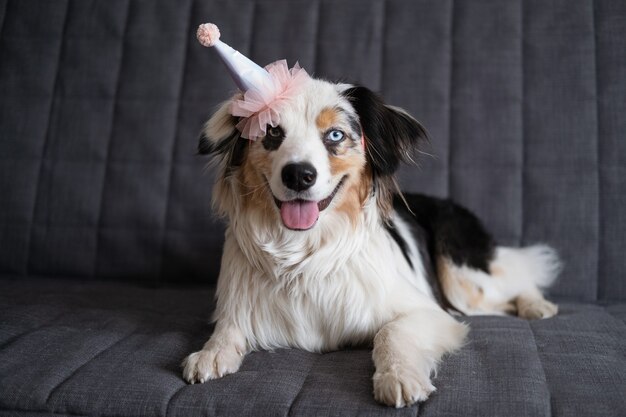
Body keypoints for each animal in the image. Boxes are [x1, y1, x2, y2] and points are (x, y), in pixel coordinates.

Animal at [182, 76, 560, 404]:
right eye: (273, 131)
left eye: (335, 135)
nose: (299, 175)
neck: (304, 256)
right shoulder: (238, 304)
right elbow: (228, 327)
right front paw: (211, 352)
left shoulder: (429, 311)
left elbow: (389, 333)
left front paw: (399, 376)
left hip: (461, 279)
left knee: (514, 279)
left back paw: (536, 305)